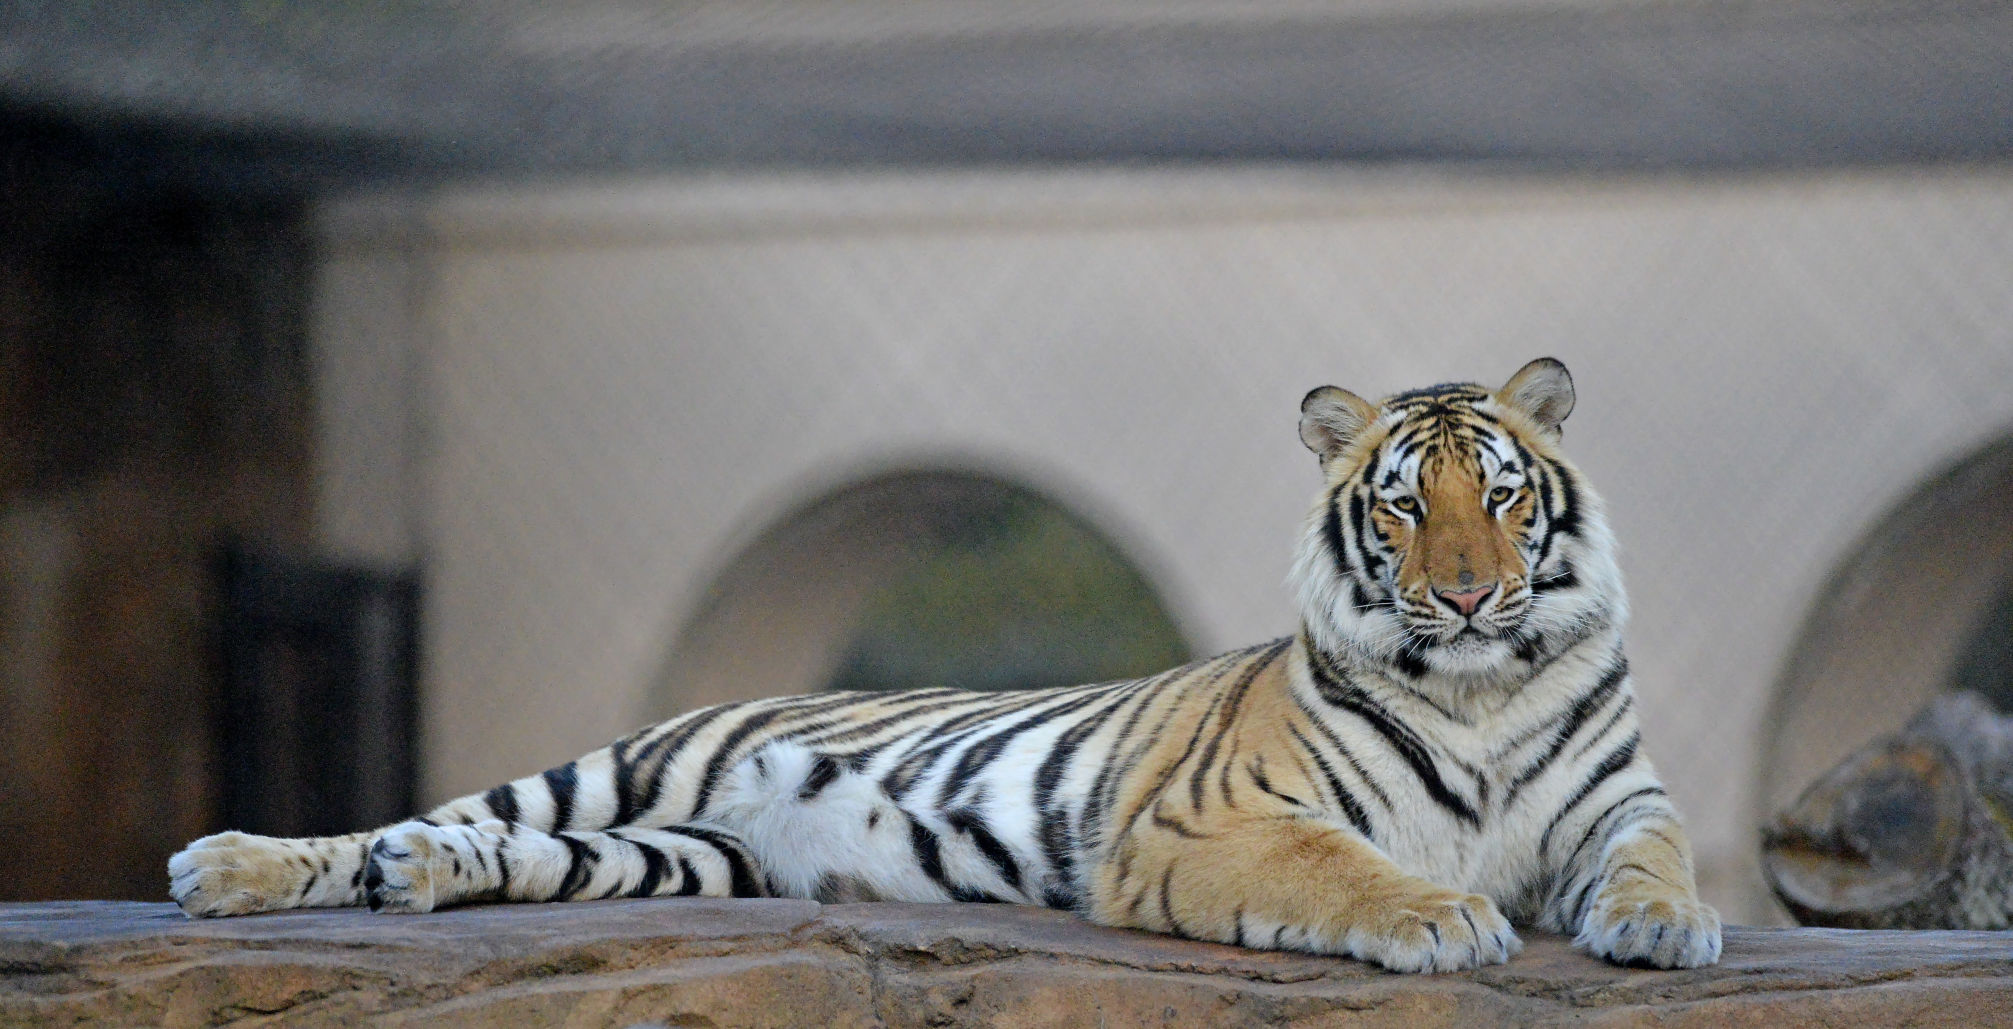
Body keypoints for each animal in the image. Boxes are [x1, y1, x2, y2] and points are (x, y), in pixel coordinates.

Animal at [169, 357, 1721, 973]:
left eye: (1503, 496)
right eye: (1403, 505)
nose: (1466, 593)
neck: (1481, 688)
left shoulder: (1616, 800)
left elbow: (1658, 856)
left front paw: (1662, 928)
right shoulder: (1211, 819)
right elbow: (1345, 867)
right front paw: (1445, 918)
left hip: (676, 853)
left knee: (481, 850)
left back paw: (417, 881)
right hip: (617, 772)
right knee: (422, 815)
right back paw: (235, 867)